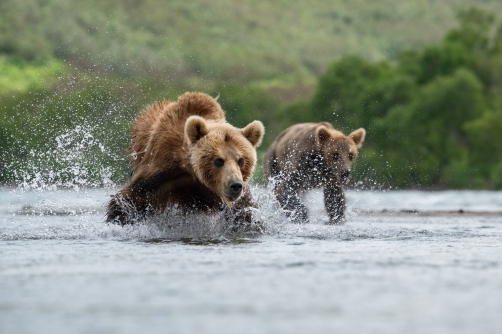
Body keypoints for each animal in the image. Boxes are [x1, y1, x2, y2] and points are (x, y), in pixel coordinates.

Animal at [107, 92, 264, 231]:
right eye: (219, 160)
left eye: (241, 160)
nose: (235, 185)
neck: (190, 169)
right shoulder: (161, 172)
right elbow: (128, 199)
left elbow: (246, 211)